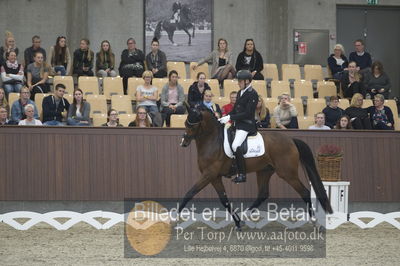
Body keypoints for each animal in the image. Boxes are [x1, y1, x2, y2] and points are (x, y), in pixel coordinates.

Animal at [180, 105, 332, 229]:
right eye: (185, 123)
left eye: (192, 126)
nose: (183, 142)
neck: (213, 140)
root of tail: (291, 140)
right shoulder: (214, 176)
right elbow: (224, 200)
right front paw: (237, 222)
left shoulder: (209, 174)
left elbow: (189, 193)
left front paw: (176, 215)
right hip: (264, 171)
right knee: (263, 194)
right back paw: (244, 217)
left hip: (287, 173)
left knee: (304, 192)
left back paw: (315, 223)